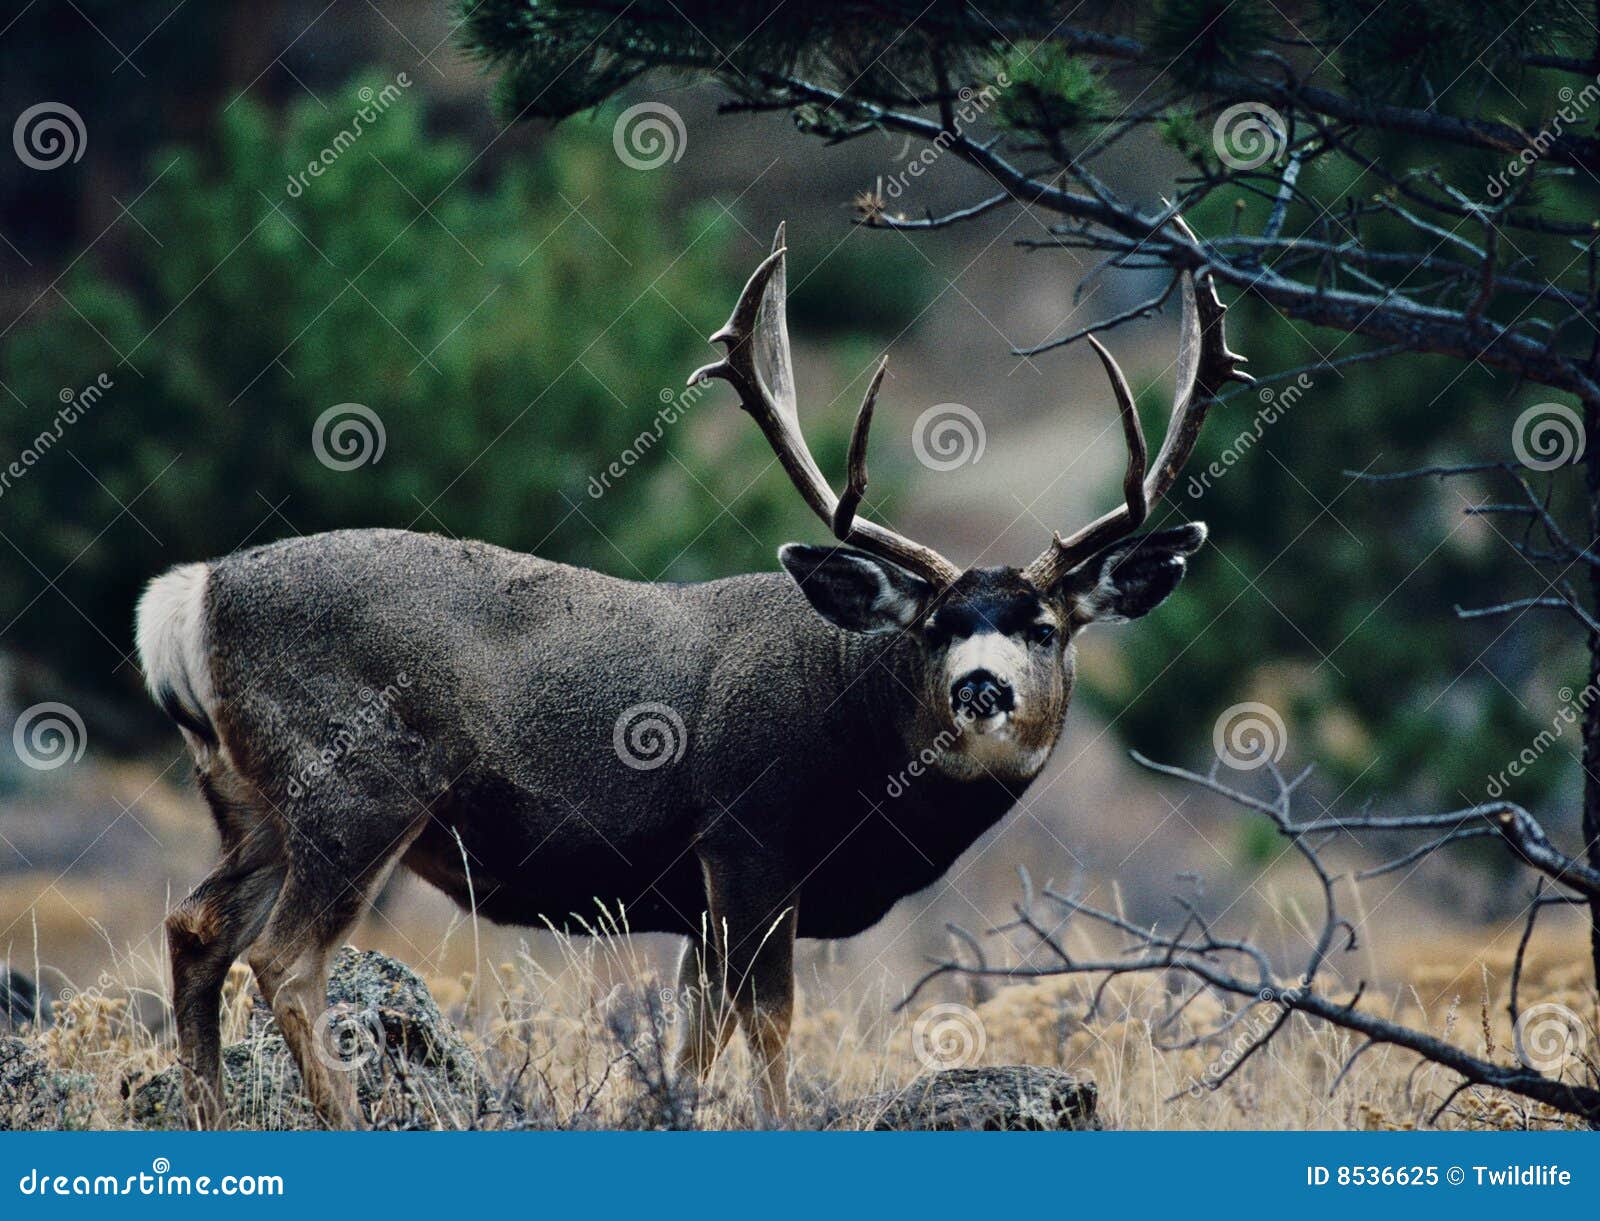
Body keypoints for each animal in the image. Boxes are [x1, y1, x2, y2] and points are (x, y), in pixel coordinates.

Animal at [135, 219, 1247, 1129]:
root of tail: (191, 595)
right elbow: (769, 1026)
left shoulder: (700, 900)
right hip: (358, 787)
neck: (860, 747)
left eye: (1046, 626)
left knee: (195, 926)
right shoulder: (747, 838)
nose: (983, 686)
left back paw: (209, 1118)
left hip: (251, 798)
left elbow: (691, 1043)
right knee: (284, 961)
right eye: (934, 627)